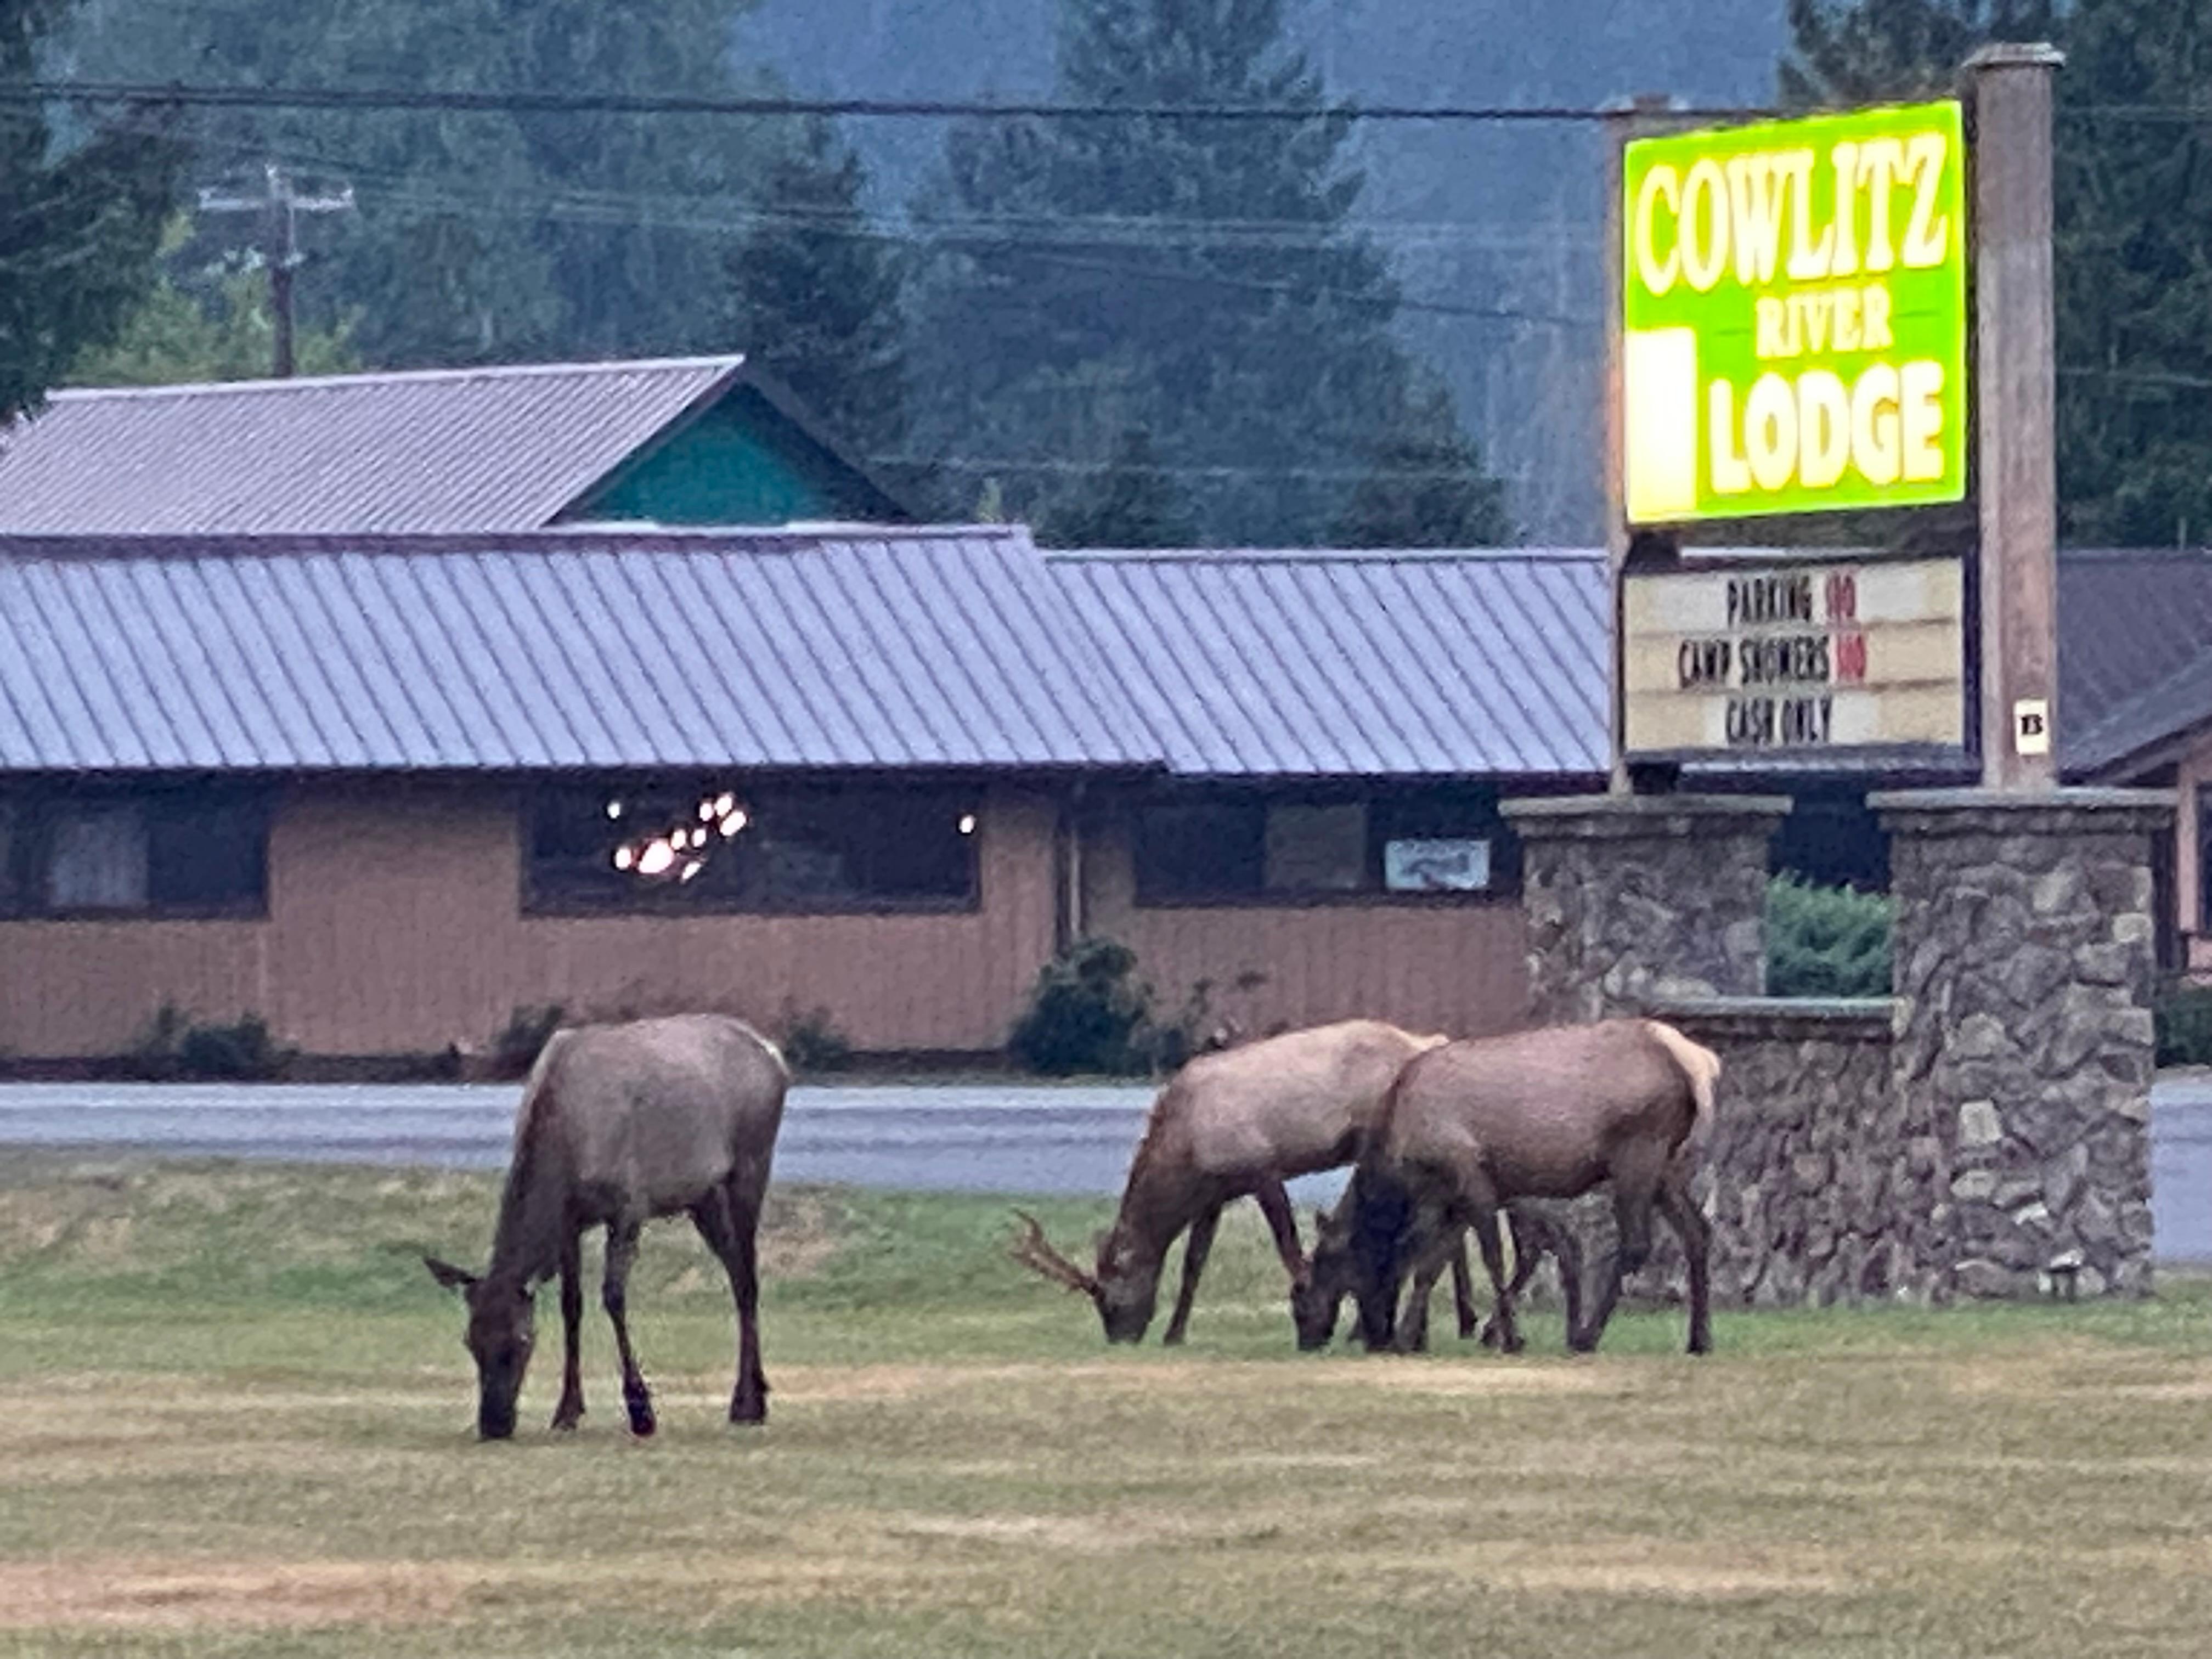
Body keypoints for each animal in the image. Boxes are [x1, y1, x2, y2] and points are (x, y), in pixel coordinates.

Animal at [418, 1013, 792, 1442]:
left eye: (522, 1341)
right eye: (469, 1341)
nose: (493, 1423)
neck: (564, 1145)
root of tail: (777, 1058)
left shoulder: (628, 1207)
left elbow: (613, 1298)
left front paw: (641, 1410)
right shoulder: (570, 1223)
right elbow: (571, 1305)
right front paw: (566, 1411)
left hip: (749, 1167)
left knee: (748, 1279)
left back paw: (749, 1404)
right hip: (704, 1197)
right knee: (736, 1272)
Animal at [1004, 1013, 1486, 1353]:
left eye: (1107, 1298)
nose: (1121, 1340)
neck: (1185, 1150)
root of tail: (1432, 1041)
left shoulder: (1261, 1166)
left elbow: (1288, 1247)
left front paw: (1313, 1311)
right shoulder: (1213, 1194)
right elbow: (1194, 1264)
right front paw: (1175, 1334)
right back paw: (1466, 1323)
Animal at [1291, 1026, 1725, 1362]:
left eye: (1303, 1291)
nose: (1307, 1341)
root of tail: (1699, 1065)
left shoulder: (1472, 1177)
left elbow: (1491, 1258)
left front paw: (1510, 1338)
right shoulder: (1447, 1198)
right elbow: (1428, 1266)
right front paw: (1408, 1337)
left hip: (1637, 1150)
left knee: (1636, 1244)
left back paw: (1587, 1336)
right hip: (1667, 1168)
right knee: (1698, 1232)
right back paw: (1699, 1339)